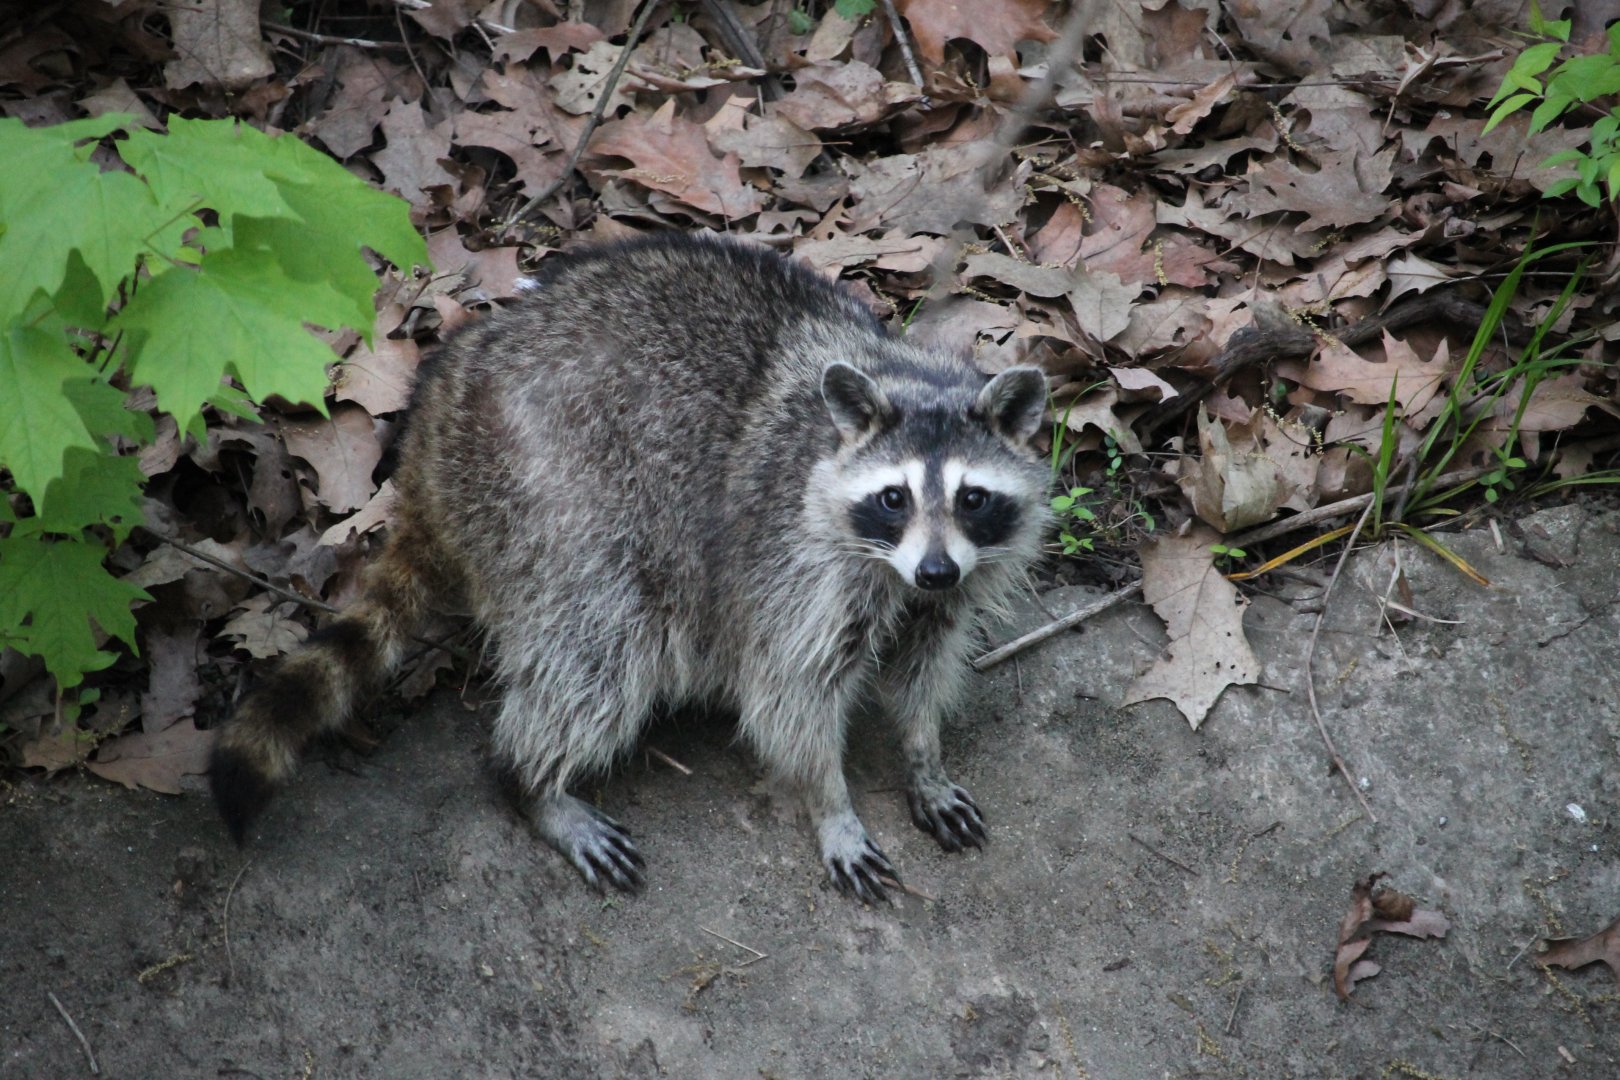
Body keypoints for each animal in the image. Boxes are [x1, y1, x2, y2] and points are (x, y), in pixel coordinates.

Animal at [210, 233, 1051, 902]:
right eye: (894, 497)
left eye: (972, 497)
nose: (935, 571)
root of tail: (438, 414)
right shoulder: (794, 563)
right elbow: (788, 694)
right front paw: (831, 806)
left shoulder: (953, 581)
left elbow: (922, 666)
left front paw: (923, 755)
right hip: (554, 491)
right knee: (601, 653)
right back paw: (530, 779)